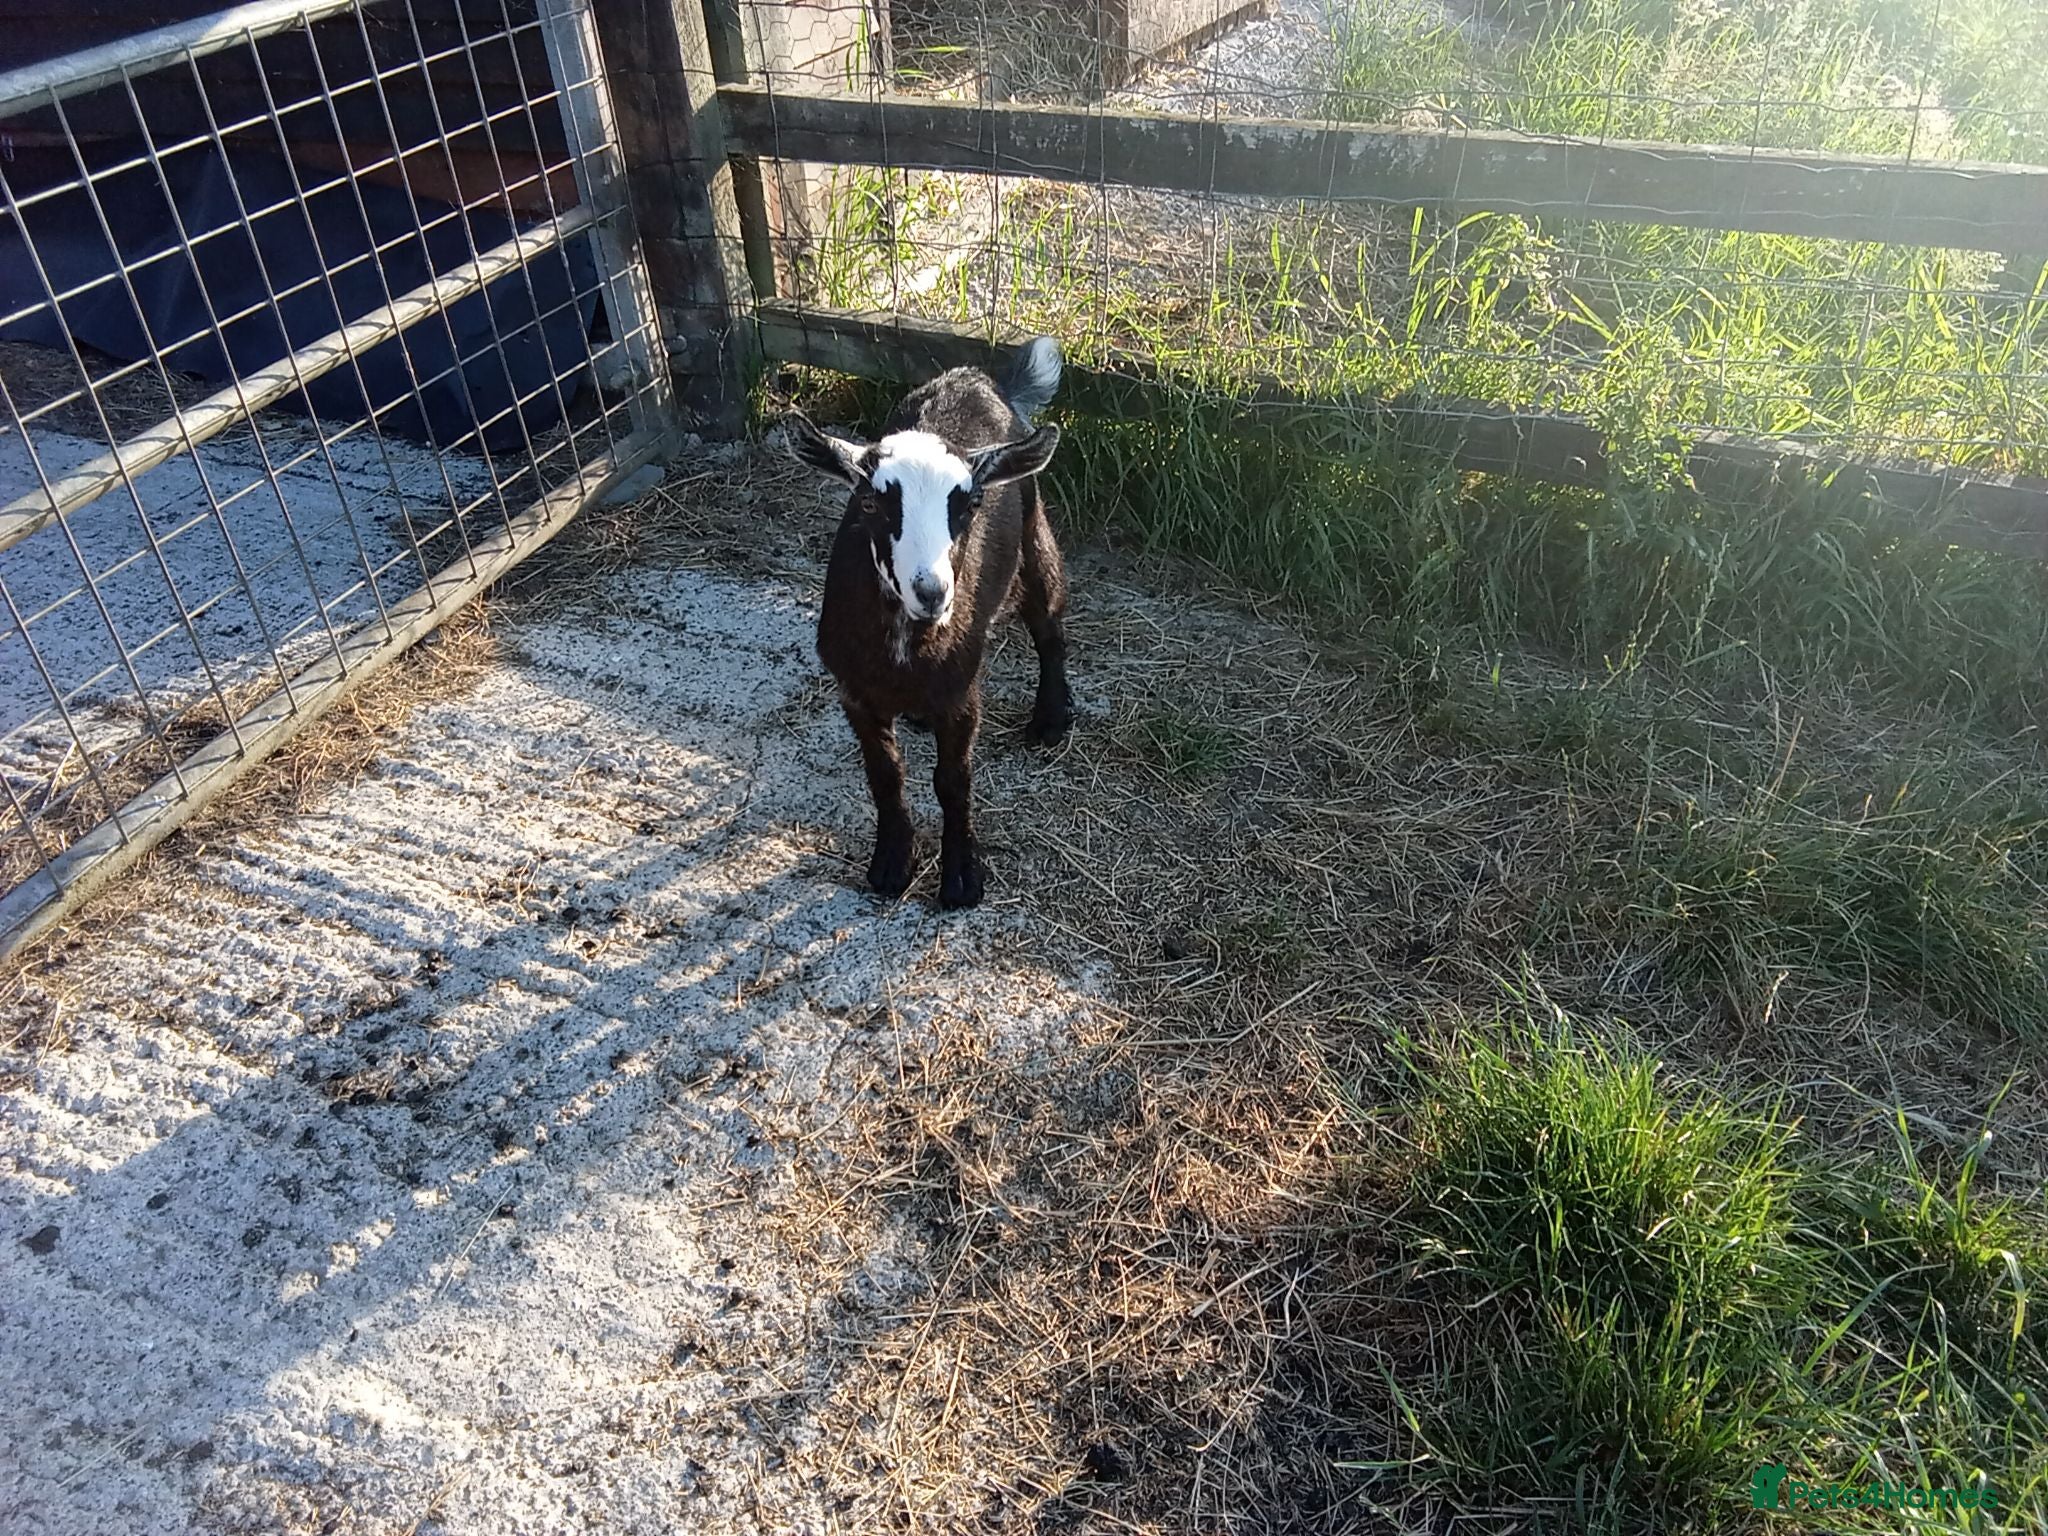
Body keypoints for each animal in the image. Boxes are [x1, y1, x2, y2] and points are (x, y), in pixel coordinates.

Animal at [785, 337, 1072, 909]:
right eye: (869, 502)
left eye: (971, 503)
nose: (933, 592)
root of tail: (978, 378)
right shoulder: (854, 691)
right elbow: (885, 773)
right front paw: (891, 864)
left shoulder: (962, 693)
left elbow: (952, 779)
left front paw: (961, 878)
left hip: (1033, 530)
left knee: (1048, 619)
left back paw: (1052, 718)